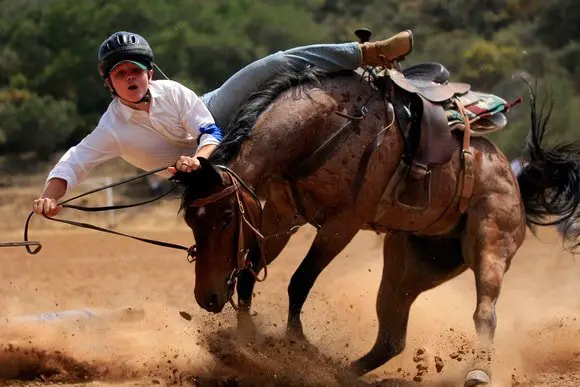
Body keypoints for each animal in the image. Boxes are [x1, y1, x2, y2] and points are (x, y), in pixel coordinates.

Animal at [172, 65, 580, 386]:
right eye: (191, 219)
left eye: (226, 217)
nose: (207, 297)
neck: (326, 128)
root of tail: (514, 180)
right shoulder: (279, 217)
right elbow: (248, 274)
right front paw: (245, 342)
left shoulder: (342, 224)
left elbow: (299, 282)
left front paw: (294, 346)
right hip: (412, 264)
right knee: (392, 338)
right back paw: (339, 373)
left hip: (489, 246)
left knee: (485, 312)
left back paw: (478, 372)